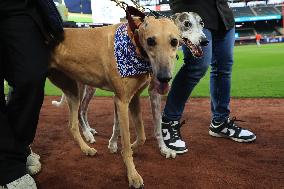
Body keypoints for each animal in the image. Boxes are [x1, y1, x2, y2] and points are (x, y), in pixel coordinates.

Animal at [46, 16, 180, 188]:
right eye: (150, 40)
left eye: (174, 41)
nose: (164, 78)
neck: (133, 42)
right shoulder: (122, 101)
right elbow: (126, 140)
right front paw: (132, 174)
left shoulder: (134, 98)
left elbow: (141, 136)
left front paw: (130, 147)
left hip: (72, 91)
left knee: (73, 125)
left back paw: (86, 148)